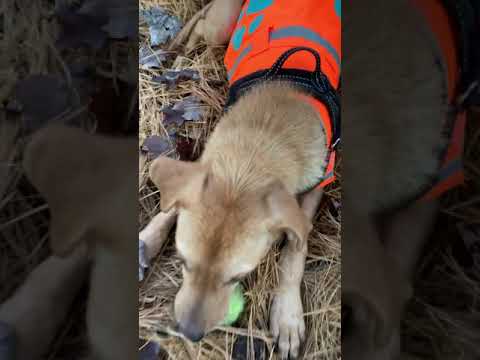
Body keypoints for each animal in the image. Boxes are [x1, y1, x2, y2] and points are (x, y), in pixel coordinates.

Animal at [139, 0, 476, 360]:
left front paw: (287, 315)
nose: (189, 334)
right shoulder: (207, 161)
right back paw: (177, 55)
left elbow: (294, 251)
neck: (262, 139)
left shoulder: (316, 185)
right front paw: (147, 238)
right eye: (182, 260)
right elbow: (173, 204)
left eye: (240, 276)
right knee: (200, 26)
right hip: (221, 26)